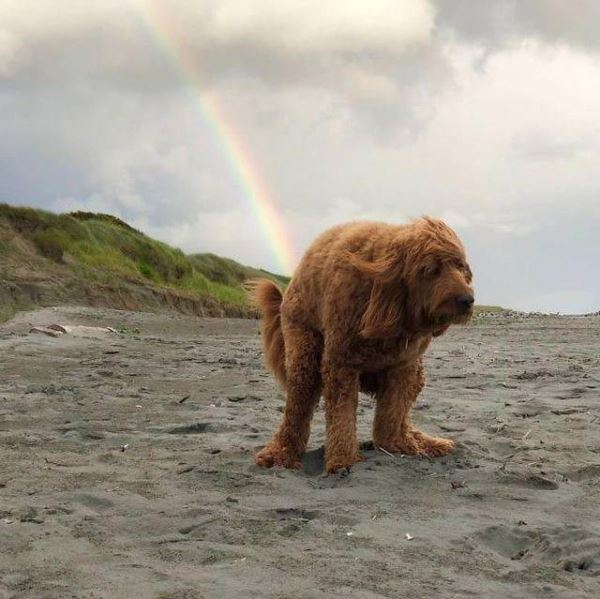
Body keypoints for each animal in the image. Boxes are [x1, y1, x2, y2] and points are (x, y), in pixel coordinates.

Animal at [248, 218, 474, 476]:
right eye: (430, 270)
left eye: (460, 266)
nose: (467, 301)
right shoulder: (341, 362)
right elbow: (342, 415)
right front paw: (341, 461)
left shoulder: (403, 365)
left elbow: (393, 411)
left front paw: (396, 444)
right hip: (303, 345)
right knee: (299, 401)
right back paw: (281, 453)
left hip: (416, 372)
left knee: (402, 413)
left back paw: (418, 441)